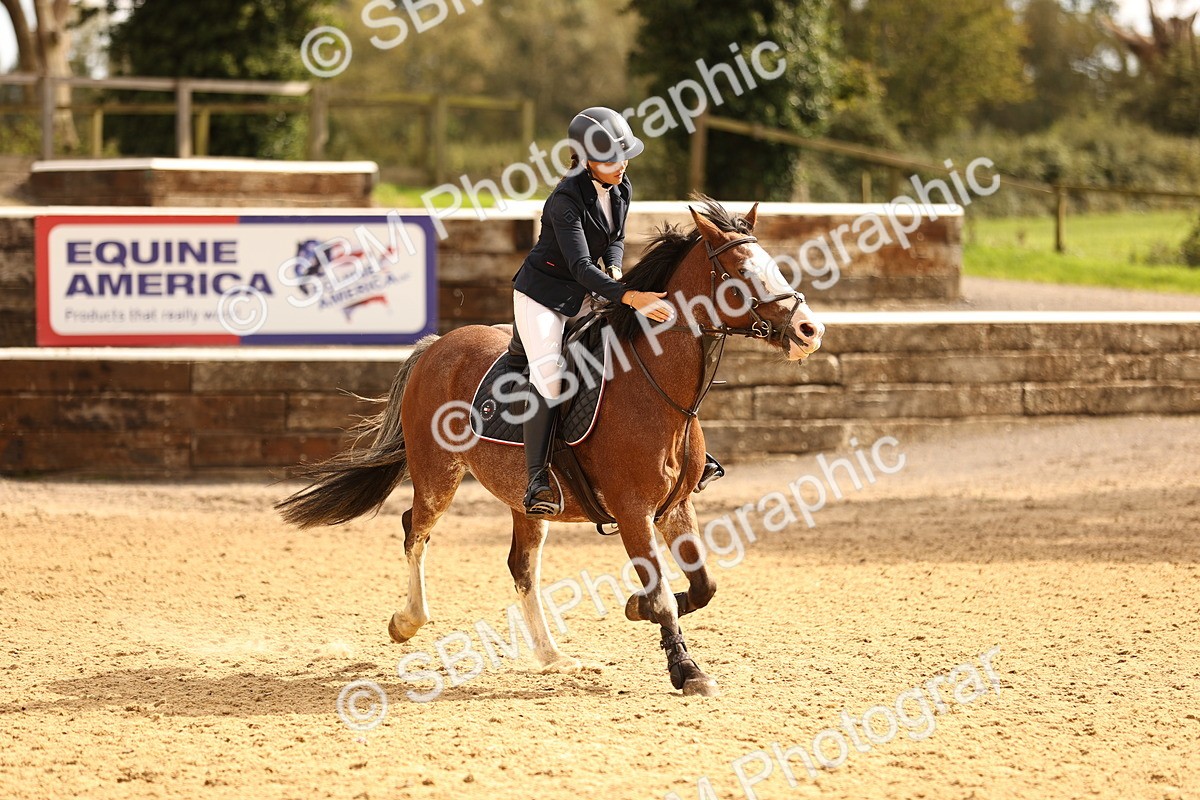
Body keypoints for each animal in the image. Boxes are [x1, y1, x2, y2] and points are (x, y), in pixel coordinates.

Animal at [275, 197, 826, 696]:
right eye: (740, 271)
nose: (809, 331)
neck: (657, 389)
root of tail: (436, 346)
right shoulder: (632, 511)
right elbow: (666, 597)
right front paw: (686, 670)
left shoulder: (675, 507)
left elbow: (702, 585)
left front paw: (635, 607)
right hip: (437, 474)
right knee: (416, 530)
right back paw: (407, 620)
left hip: (525, 498)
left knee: (521, 566)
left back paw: (552, 656)